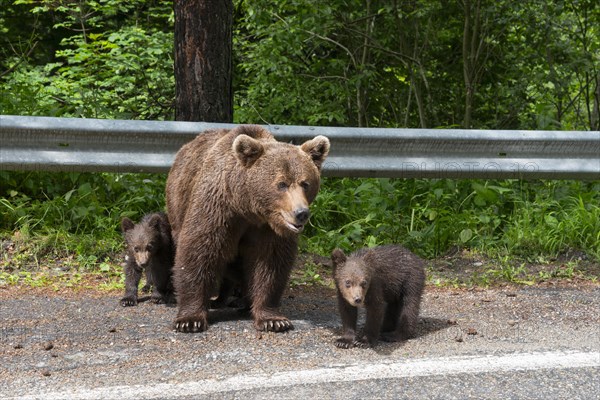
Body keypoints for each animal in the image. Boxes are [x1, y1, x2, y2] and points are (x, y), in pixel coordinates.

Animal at [166, 126, 330, 332]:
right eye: (281, 184)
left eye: (305, 183)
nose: (301, 213)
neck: (248, 208)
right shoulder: (217, 209)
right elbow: (199, 251)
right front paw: (189, 319)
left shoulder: (268, 229)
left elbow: (270, 264)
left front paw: (273, 320)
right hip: (177, 205)